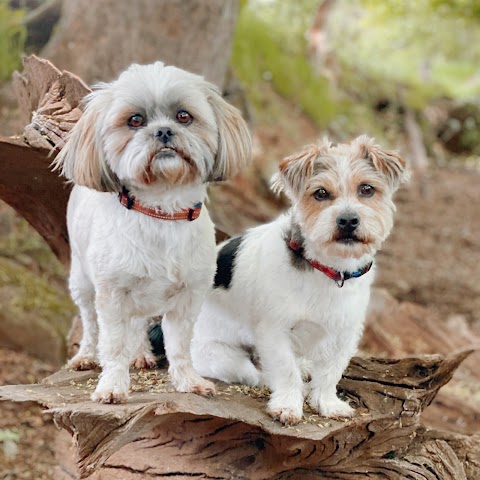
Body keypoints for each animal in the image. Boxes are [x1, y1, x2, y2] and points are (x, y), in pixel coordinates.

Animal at [53, 62, 251, 404]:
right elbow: (113, 344)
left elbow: (180, 346)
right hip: (82, 281)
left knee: (138, 322)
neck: (162, 212)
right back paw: (86, 356)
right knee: (90, 323)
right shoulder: (113, 294)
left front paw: (188, 381)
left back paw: (141, 353)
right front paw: (112, 386)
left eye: (184, 116)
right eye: (135, 120)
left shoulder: (188, 297)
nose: (163, 131)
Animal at [189, 135, 406, 424]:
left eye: (367, 189)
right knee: (256, 372)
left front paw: (327, 403)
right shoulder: (275, 331)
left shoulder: (345, 333)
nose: (348, 220)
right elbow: (285, 370)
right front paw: (288, 405)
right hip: (222, 356)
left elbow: (330, 373)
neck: (328, 270)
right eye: (321, 193)